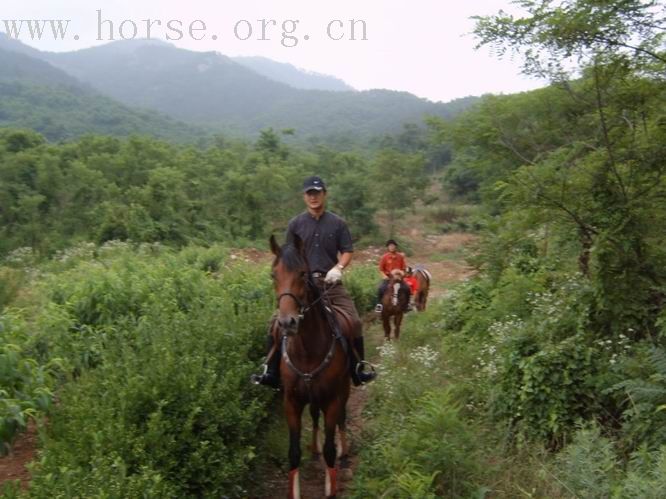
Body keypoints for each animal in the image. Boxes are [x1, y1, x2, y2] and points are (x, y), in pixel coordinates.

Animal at [268, 235, 350, 499]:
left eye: (303, 274)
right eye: (273, 275)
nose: (287, 322)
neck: (307, 350)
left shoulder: (333, 399)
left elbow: (330, 448)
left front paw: (330, 487)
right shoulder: (292, 401)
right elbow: (293, 452)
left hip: (344, 390)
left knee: (341, 419)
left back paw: (344, 452)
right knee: (314, 416)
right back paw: (314, 447)